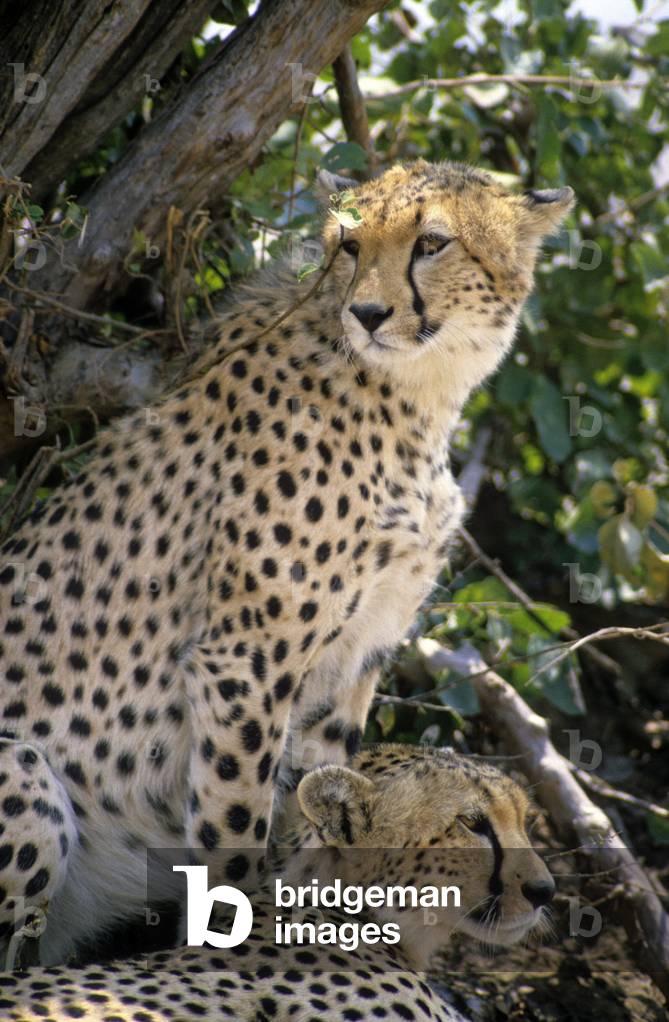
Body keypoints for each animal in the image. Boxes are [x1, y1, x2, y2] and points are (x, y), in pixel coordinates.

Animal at [0, 158, 573, 963]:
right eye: (350, 245)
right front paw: (232, 946)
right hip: (23, 769)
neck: (415, 395)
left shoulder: (359, 652)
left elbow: (319, 797)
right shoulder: (245, 659)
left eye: (432, 243)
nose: (368, 313)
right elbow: (235, 837)